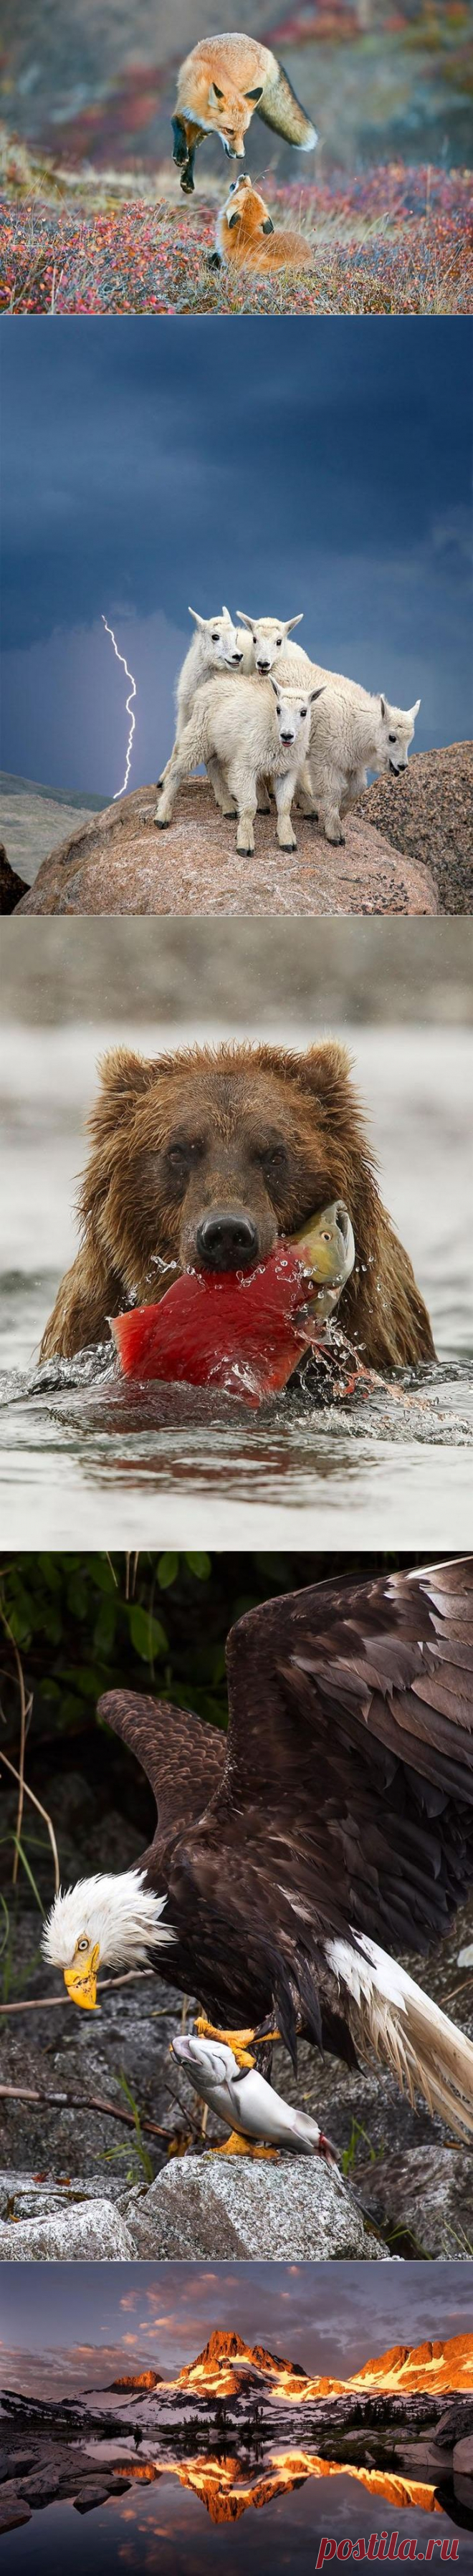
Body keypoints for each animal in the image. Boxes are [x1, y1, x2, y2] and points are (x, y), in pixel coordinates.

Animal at [153, 674, 323, 855]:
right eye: (278, 709)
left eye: (304, 712)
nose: (287, 735)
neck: (272, 728)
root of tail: (206, 687)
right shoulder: (246, 765)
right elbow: (249, 806)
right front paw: (245, 843)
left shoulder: (287, 771)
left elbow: (284, 806)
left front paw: (287, 840)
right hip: (198, 737)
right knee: (177, 771)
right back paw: (162, 815)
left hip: (218, 744)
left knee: (212, 765)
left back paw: (228, 806)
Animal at [172, 32, 316, 193]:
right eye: (229, 131)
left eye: (245, 132)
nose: (241, 155)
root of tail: (265, 50)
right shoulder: (183, 108)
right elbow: (178, 127)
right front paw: (180, 155)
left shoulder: (201, 125)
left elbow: (192, 148)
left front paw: (187, 179)